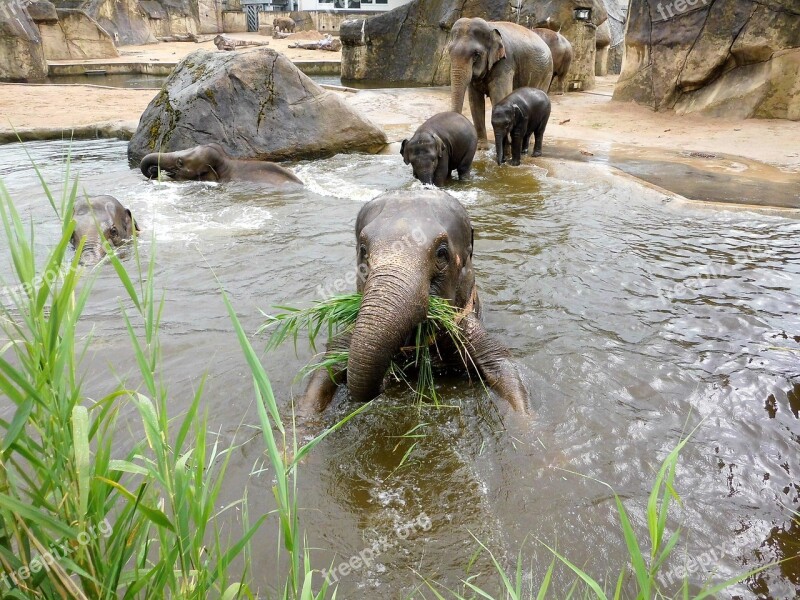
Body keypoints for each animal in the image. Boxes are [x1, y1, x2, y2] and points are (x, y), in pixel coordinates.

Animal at [446, 17, 552, 149]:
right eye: (449, 52)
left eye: (476, 54)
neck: (490, 26)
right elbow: (475, 101)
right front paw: (482, 147)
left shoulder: (505, 63)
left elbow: (499, 96)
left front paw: (505, 146)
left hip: (546, 73)